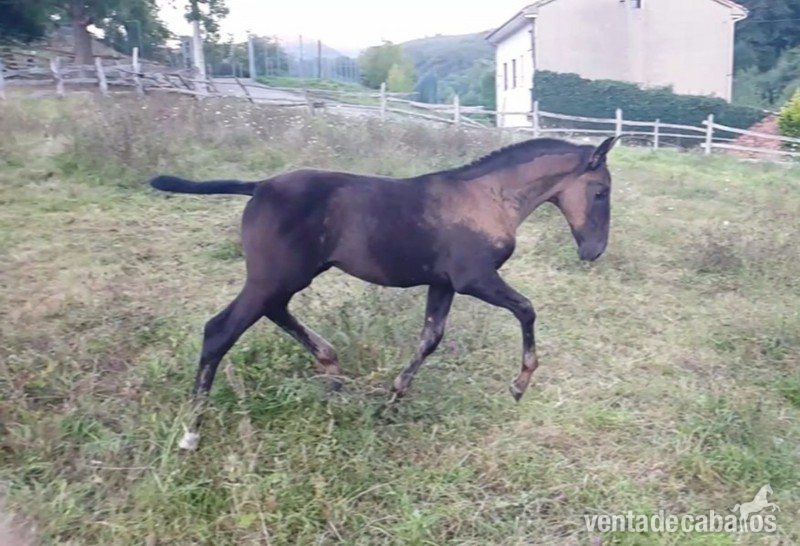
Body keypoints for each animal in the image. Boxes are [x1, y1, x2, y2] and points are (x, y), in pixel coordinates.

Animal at [148, 135, 621, 451]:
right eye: (601, 192)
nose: (593, 251)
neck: (491, 196)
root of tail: (259, 186)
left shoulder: (442, 283)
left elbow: (430, 339)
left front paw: (392, 401)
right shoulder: (474, 278)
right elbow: (527, 309)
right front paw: (520, 384)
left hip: (284, 278)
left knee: (275, 312)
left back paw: (331, 364)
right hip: (273, 277)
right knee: (219, 331)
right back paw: (192, 432)